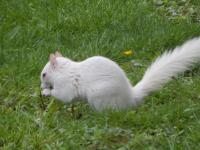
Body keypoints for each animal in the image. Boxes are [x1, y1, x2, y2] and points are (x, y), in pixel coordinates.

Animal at [40, 37, 200, 111]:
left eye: (43, 74)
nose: (41, 85)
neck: (63, 70)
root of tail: (131, 97)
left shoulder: (65, 84)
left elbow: (63, 95)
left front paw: (46, 92)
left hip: (100, 97)